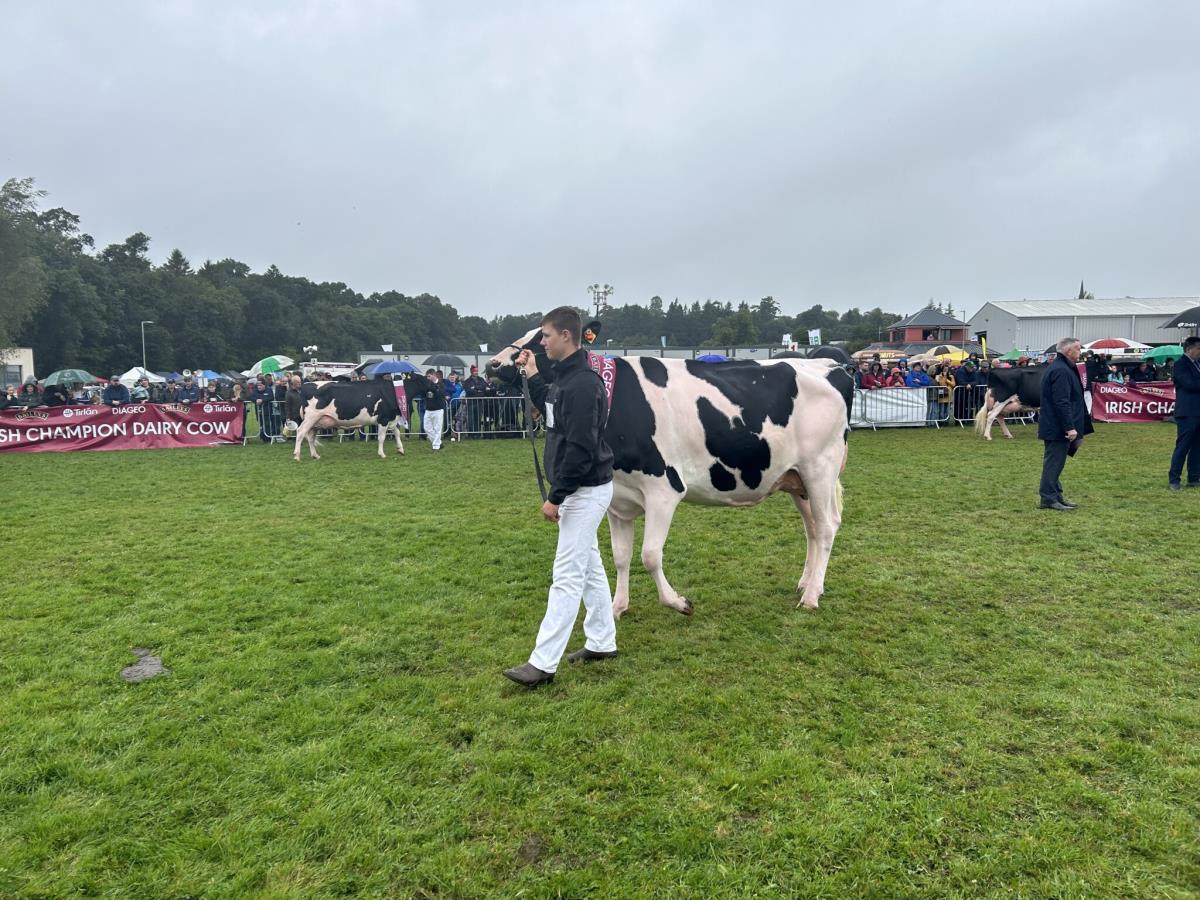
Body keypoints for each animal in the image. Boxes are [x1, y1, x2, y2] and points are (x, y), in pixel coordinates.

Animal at [291, 374, 436, 460]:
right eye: (427, 380)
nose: (437, 386)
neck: (392, 392)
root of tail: (304, 386)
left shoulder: (391, 417)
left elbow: (397, 433)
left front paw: (400, 449)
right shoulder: (383, 419)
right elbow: (382, 437)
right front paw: (382, 454)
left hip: (317, 422)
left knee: (310, 437)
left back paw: (315, 455)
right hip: (311, 418)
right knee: (300, 432)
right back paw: (297, 456)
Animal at [487, 328, 854, 619]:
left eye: (540, 336)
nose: (493, 364)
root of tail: (830, 366)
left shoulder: (664, 490)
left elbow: (649, 555)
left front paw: (678, 602)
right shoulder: (617, 499)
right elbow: (621, 557)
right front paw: (618, 607)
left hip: (820, 469)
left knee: (827, 527)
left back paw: (811, 597)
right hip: (796, 479)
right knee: (812, 528)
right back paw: (807, 583)